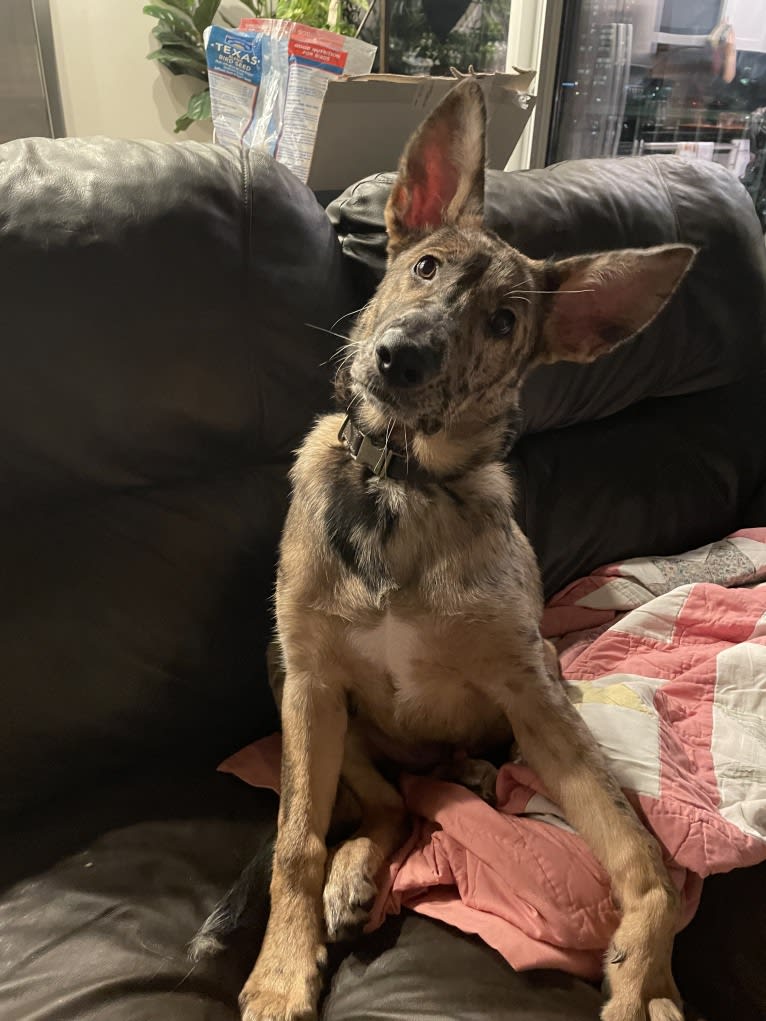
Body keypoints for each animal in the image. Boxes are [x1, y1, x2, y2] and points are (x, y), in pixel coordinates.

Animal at [210, 79, 694, 1021]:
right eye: (425, 267)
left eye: (504, 321)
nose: (399, 358)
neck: (402, 484)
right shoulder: (311, 680)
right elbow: (295, 841)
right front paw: (282, 968)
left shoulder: (534, 696)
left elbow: (640, 853)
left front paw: (647, 978)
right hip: (295, 685)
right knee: (386, 807)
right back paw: (351, 879)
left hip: (537, 680)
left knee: (414, 799)